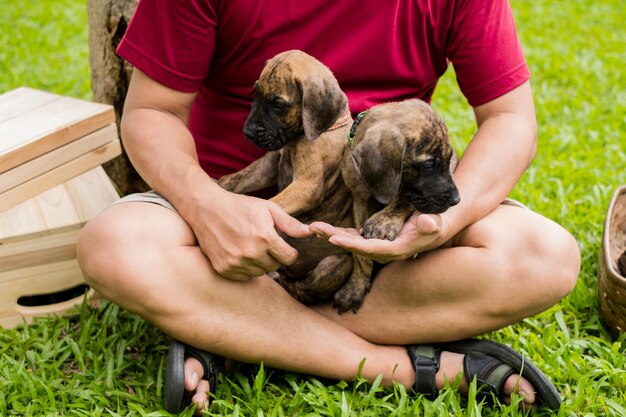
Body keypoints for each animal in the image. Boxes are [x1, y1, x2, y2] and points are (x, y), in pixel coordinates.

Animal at [218, 49, 358, 308]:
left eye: (278, 105)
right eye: (255, 93)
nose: (248, 132)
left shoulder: (306, 186)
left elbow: (272, 204)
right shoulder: (270, 165)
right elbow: (236, 180)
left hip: (335, 264)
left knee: (302, 292)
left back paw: (278, 278)